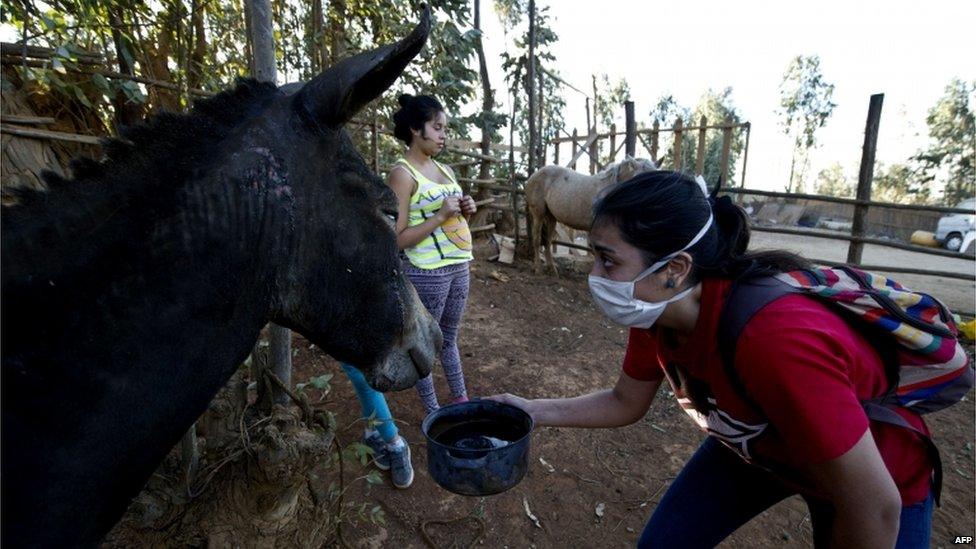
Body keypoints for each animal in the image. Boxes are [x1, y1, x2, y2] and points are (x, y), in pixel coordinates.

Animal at [528, 156, 656, 274]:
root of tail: (533, 176)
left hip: (551, 217)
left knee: (547, 241)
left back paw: (552, 269)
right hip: (538, 215)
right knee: (536, 239)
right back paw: (538, 268)